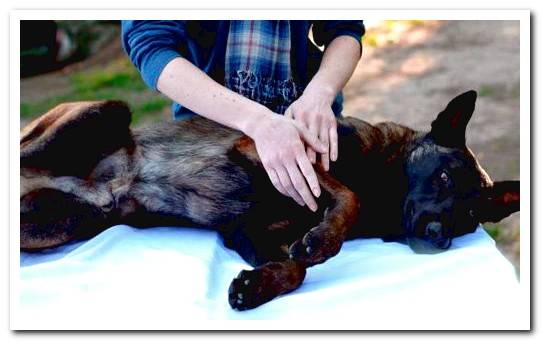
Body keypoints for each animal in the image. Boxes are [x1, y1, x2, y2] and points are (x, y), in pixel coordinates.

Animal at [21, 89, 520, 308]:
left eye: (469, 214)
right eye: (441, 177)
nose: (439, 238)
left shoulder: (247, 232)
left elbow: (295, 268)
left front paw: (258, 285)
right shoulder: (264, 149)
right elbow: (344, 194)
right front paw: (323, 240)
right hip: (105, 112)